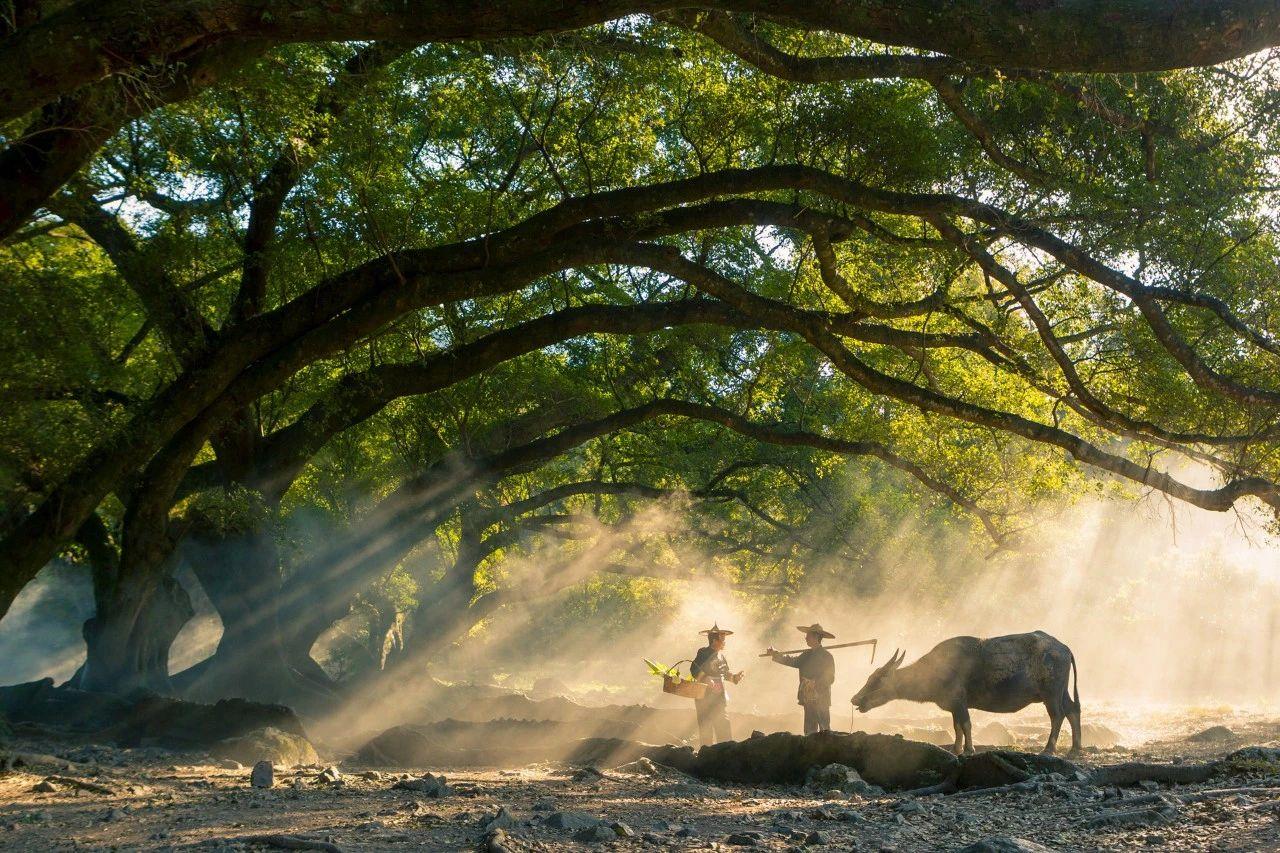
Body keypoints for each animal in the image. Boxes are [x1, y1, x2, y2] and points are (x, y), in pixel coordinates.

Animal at [849, 627, 1080, 753]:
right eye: (869, 678)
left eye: (878, 680)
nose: (854, 699)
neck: (935, 671)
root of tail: (1064, 648)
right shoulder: (953, 705)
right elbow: (956, 727)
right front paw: (957, 748)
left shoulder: (959, 701)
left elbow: (966, 724)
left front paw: (969, 749)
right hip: (1062, 692)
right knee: (1073, 710)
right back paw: (1075, 748)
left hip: (1051, 693)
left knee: (1058, 715)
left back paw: (1048, 749)